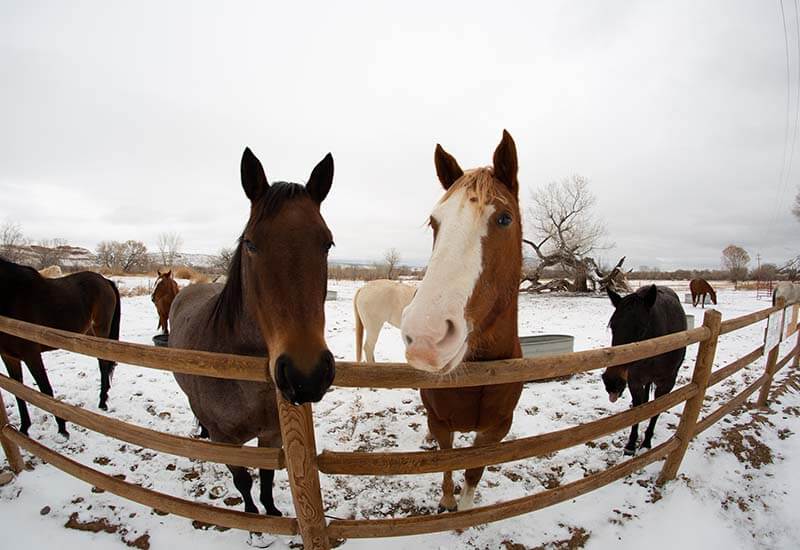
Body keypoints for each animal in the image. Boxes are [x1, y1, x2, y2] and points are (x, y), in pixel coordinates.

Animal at [0, 258, 121, 438]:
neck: (11, 294)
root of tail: (105, 280)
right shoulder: (9, 357)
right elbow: (18, 392)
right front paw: (24, 429)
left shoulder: (31, 354)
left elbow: (45, 389)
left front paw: (62, 428)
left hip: (101, 331)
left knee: (103, 364)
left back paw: (102, 401)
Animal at [168, 147, 335, 526]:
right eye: (251, 244)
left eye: (328, 244)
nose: (306, 375)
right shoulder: (226, 440)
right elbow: (242, 479)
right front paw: (251, 515)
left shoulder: (272, 434)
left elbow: (268, 475)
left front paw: (271, 511)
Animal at [400, 130, 523, 511]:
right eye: (434, 222)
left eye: (504, 219)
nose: (426, 335)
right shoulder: (442, 422)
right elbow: (446, 460)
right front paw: (447, 502)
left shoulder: (495, 431)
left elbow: (473, 472)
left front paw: (466, 508)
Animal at [602, 284, 687, 456]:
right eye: (613, 326)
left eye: (642, 329)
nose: (611, 382)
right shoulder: (634, 381)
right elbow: (637, 407)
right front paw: (630, 445)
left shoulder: (667, 383)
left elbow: (657, 409)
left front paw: (646, 442)